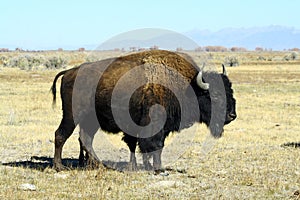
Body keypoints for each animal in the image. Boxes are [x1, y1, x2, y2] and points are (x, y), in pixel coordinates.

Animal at [50, 49, 236, 171]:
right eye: (215, 96)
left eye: (230, 91)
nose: (232, 115)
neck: (187, 86)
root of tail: (70, 72)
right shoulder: (154, 126)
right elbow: (155, 146)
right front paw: (158, 168)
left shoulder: (160, 127)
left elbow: (150, 147)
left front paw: (149, 166)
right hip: (71, 116)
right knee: (61, 134)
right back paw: (59, 167)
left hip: (90, 121)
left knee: (86, 139)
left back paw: (97, 165)